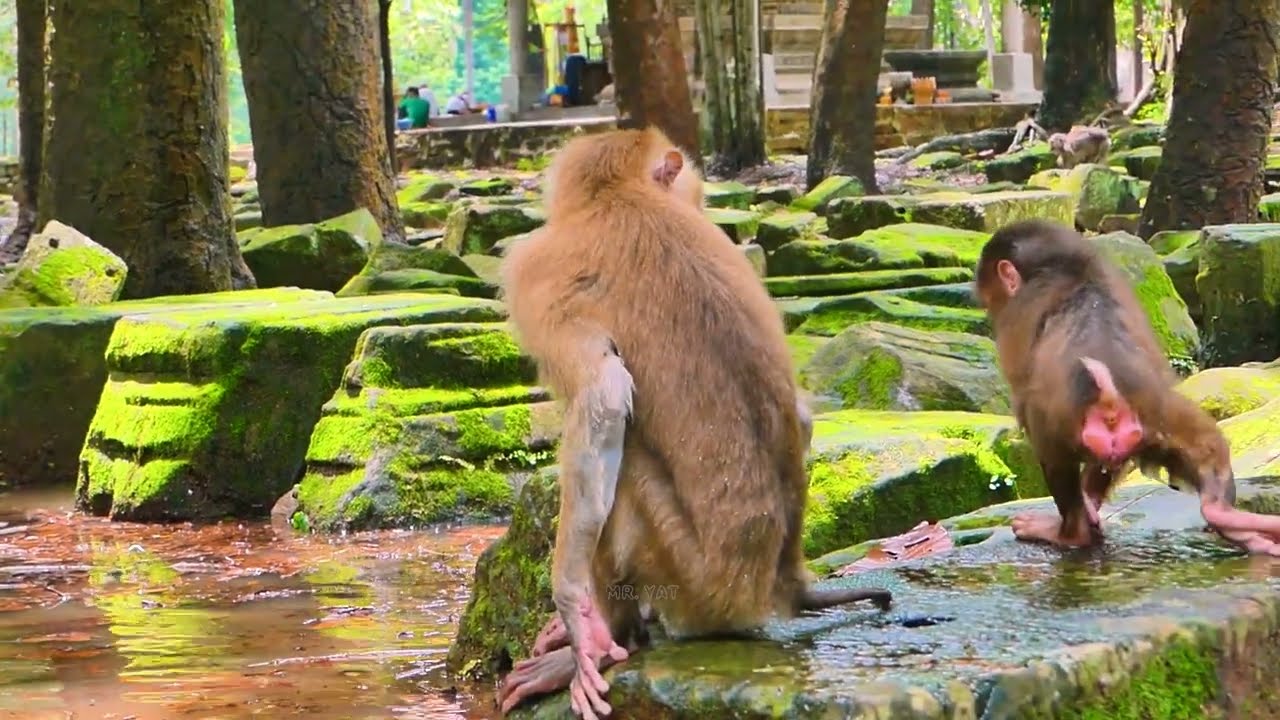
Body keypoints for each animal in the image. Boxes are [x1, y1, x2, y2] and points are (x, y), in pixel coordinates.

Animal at [494, 127, 892, 719]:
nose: (702, 202)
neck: (615, 194)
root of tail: (779, 586)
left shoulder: (533, 274)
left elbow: (604, 401)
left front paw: (574, 612)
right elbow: (799, 414)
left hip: (688, 578)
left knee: (622, 462)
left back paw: (609, 641)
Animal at [974, 219, 1280, 555]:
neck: (1066, 266)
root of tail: (1112, 402)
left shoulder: (1016, 319)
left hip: (1065, 425)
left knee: (1050, 448)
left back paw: (1068, 532)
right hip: (1162, 422)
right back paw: (1227, 517)